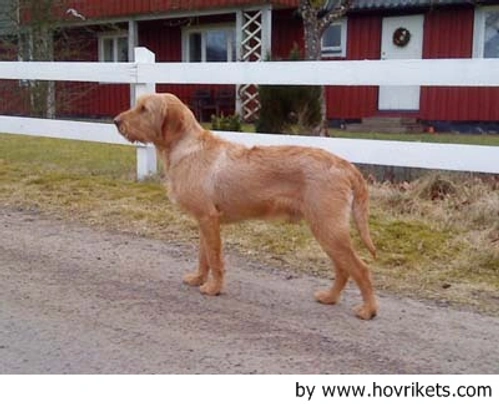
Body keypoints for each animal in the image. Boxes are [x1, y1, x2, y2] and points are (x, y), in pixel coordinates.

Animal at [114, 92, 378, 318]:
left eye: (144, 109)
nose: (116, 121)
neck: (187, 149)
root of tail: (345, 164)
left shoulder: (209, 219)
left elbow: (215, 259)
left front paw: (213, 288)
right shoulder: (204, 221)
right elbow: (203, 257)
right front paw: (199, 279)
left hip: (328, 228)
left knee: (361, 268)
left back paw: (368, 310)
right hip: (327, 231)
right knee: (343, 268)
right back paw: (330, 297)